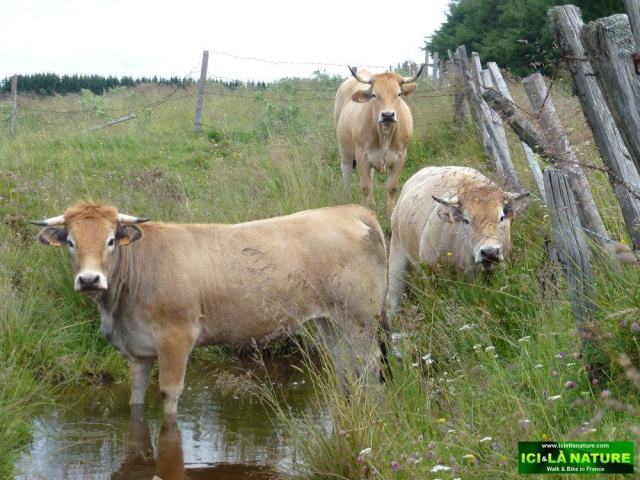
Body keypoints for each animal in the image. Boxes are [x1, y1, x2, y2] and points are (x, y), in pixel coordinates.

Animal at [31, 203, 388, 415]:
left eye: (110, 240)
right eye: (71, 242)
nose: (89, 279)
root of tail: (349, 210)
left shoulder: (176, 339)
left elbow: (169, 396)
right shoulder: (138, 351)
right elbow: (136, 397)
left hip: (360, 318)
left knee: (369, 365)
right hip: (331, 322)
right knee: (345, 366)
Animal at [334, 65, 424, 209]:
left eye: (398, 94)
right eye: (374, 95)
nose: (387, 115)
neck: (385, 135)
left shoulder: (401, 157)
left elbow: (391, 187)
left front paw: (390, 211)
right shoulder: (361, 156)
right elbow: (365, 187)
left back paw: (372, 202)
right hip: (344, 149)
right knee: (346, 169)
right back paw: (348, 198)